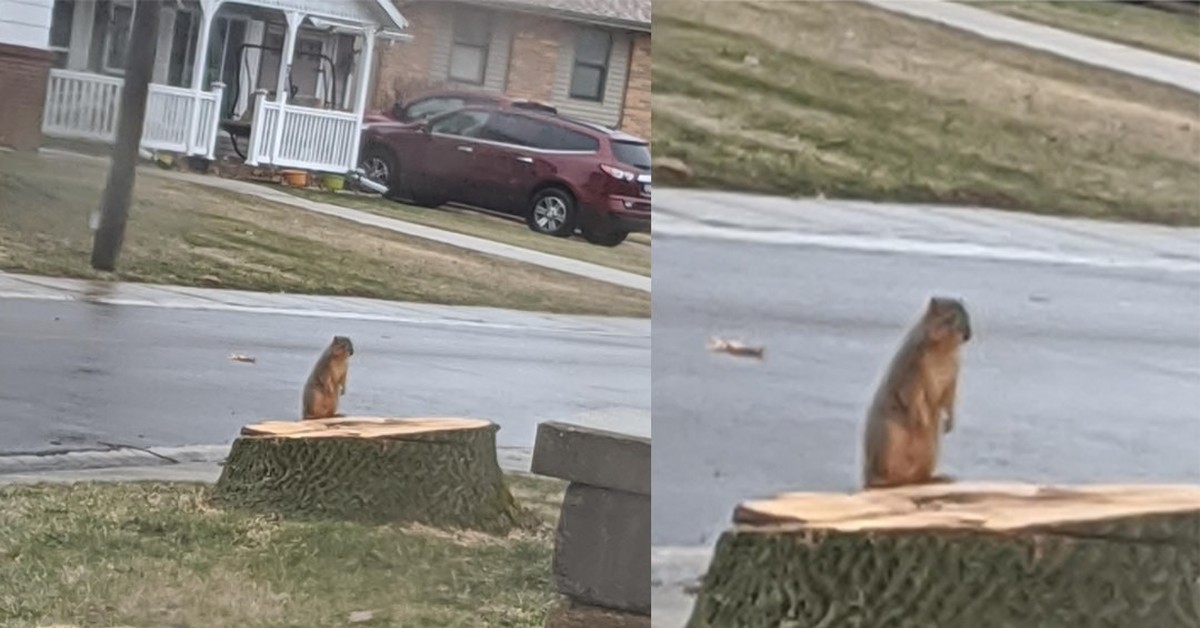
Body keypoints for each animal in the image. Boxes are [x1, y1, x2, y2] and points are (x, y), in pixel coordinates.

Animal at [859, 298, 969, 492]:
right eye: (949, 318)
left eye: (968, 315)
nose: (967, 335)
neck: (943, 351)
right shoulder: (913, 370)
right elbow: (913, 397)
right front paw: (921, 421)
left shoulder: (953, 375)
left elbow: (949, 398)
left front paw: (949, 423)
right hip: (889, 439)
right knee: (881, 477)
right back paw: (883, 482)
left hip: (930, 450)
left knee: (920, 476)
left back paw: (939, 478)